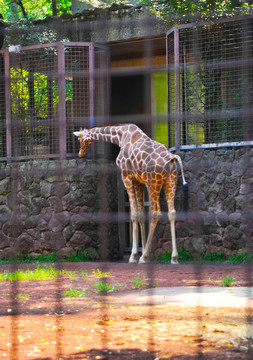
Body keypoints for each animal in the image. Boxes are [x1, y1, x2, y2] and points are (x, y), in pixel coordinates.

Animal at [73, 124, 188, 264]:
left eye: (80, 139)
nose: (80, 153)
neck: (120, 136)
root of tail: (171, 159)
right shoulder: (138, 180)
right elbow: (141, 215)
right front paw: (143, 252)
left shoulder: (126, 175)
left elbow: (133, 215)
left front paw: (134, 256)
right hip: (171, 180)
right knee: (172, 212)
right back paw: (174, 257)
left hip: (153, 182)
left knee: (156, 212)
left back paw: (144, 258)